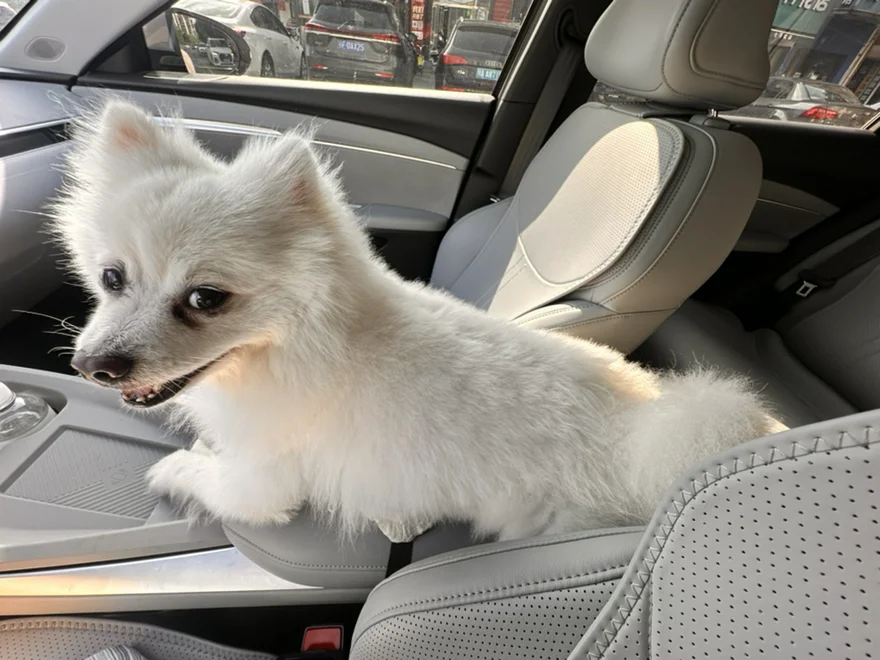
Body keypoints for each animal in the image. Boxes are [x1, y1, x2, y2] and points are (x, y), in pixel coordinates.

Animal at [53, 100, 784, 542]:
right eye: (112, 278)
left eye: (205, 299)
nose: (92, 367)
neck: (303, 346)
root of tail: (647, 432)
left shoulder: (266, 478)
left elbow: (212, 480)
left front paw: (177, 470)